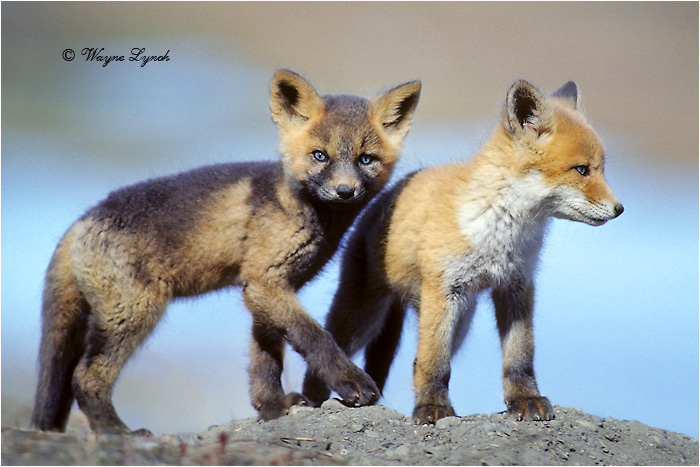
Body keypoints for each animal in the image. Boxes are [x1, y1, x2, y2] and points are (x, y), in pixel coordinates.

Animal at [30, 69, 421, 435]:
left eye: (365, 159)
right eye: (320, 156)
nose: (345, 191)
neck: (299, 212)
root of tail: (82, 219)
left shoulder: (262, 288)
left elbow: (265, 355)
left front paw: (272, 407)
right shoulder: (266, 284)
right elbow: (314, 336)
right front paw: (350, 382)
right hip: (133, 314)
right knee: (85, 378)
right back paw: (118, 433)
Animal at [302, 79, 624, 425]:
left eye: (601, 169)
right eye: (582, 170)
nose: (619, 209)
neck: (501, 231)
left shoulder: (517, 285)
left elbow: (519, 357)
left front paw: (525, 399)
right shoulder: (443, 290)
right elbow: (435, 363)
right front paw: (432, 408)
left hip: (461, 322)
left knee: (414, 362)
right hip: (364, 317)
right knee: (330, 354)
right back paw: (310, 400)